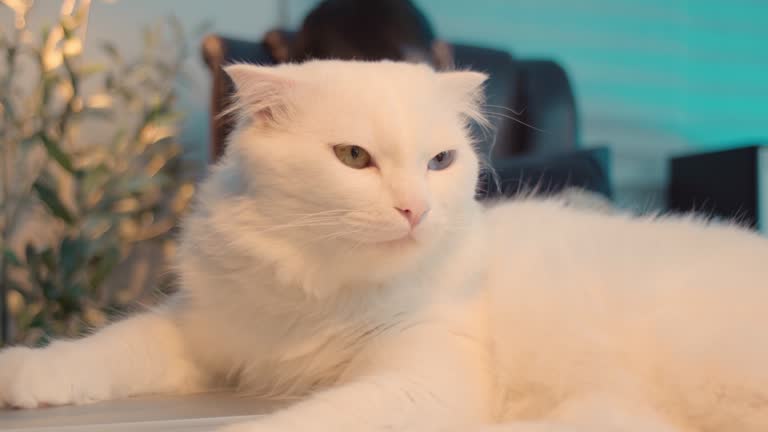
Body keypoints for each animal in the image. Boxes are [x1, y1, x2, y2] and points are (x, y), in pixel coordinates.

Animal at [1, 60, 768, 432]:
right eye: (353, 158)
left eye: (439, 162)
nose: (415, 209)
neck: (319, 284)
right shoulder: (202, 333)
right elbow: (102, 350)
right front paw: (24, 374)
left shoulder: (421, 384)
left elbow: (297, 426)